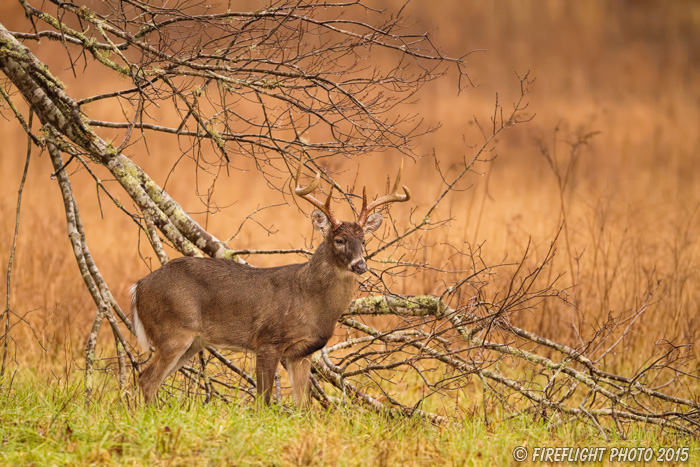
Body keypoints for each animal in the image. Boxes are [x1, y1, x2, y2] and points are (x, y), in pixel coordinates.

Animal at [131, 160, 410, 406]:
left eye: (363, 241)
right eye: (339, 240)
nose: (360, 265)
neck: (310, 299)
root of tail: (138, 287)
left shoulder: (301, 353)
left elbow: (303, 405)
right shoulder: (268, 340)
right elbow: (263, 400)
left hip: (192, 341)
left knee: (151, 378)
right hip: (172, 331)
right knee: (147, 378)